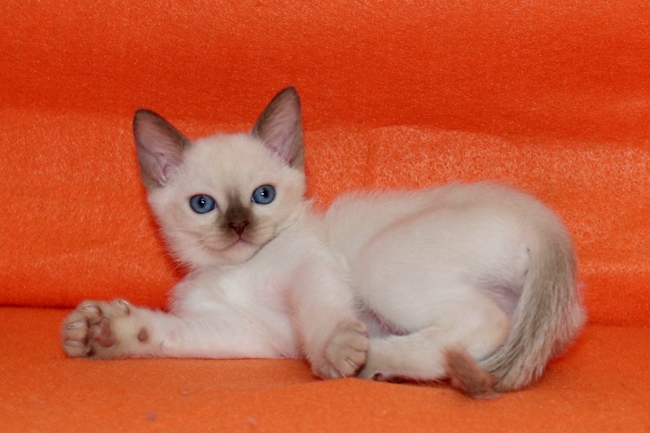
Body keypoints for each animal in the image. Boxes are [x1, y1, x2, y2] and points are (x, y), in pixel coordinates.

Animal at [63, 87, 584, 394]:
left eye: (263, 195)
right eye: (203, 204)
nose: (239, 227)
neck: (236, 270)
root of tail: (544, 220)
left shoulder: (310, 267)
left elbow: (318, 310)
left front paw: (335, 351)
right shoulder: (246, 334)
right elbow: (169, 335)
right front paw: (105, 333)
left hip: (379, 263)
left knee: (485, 321)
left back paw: (375, 357)